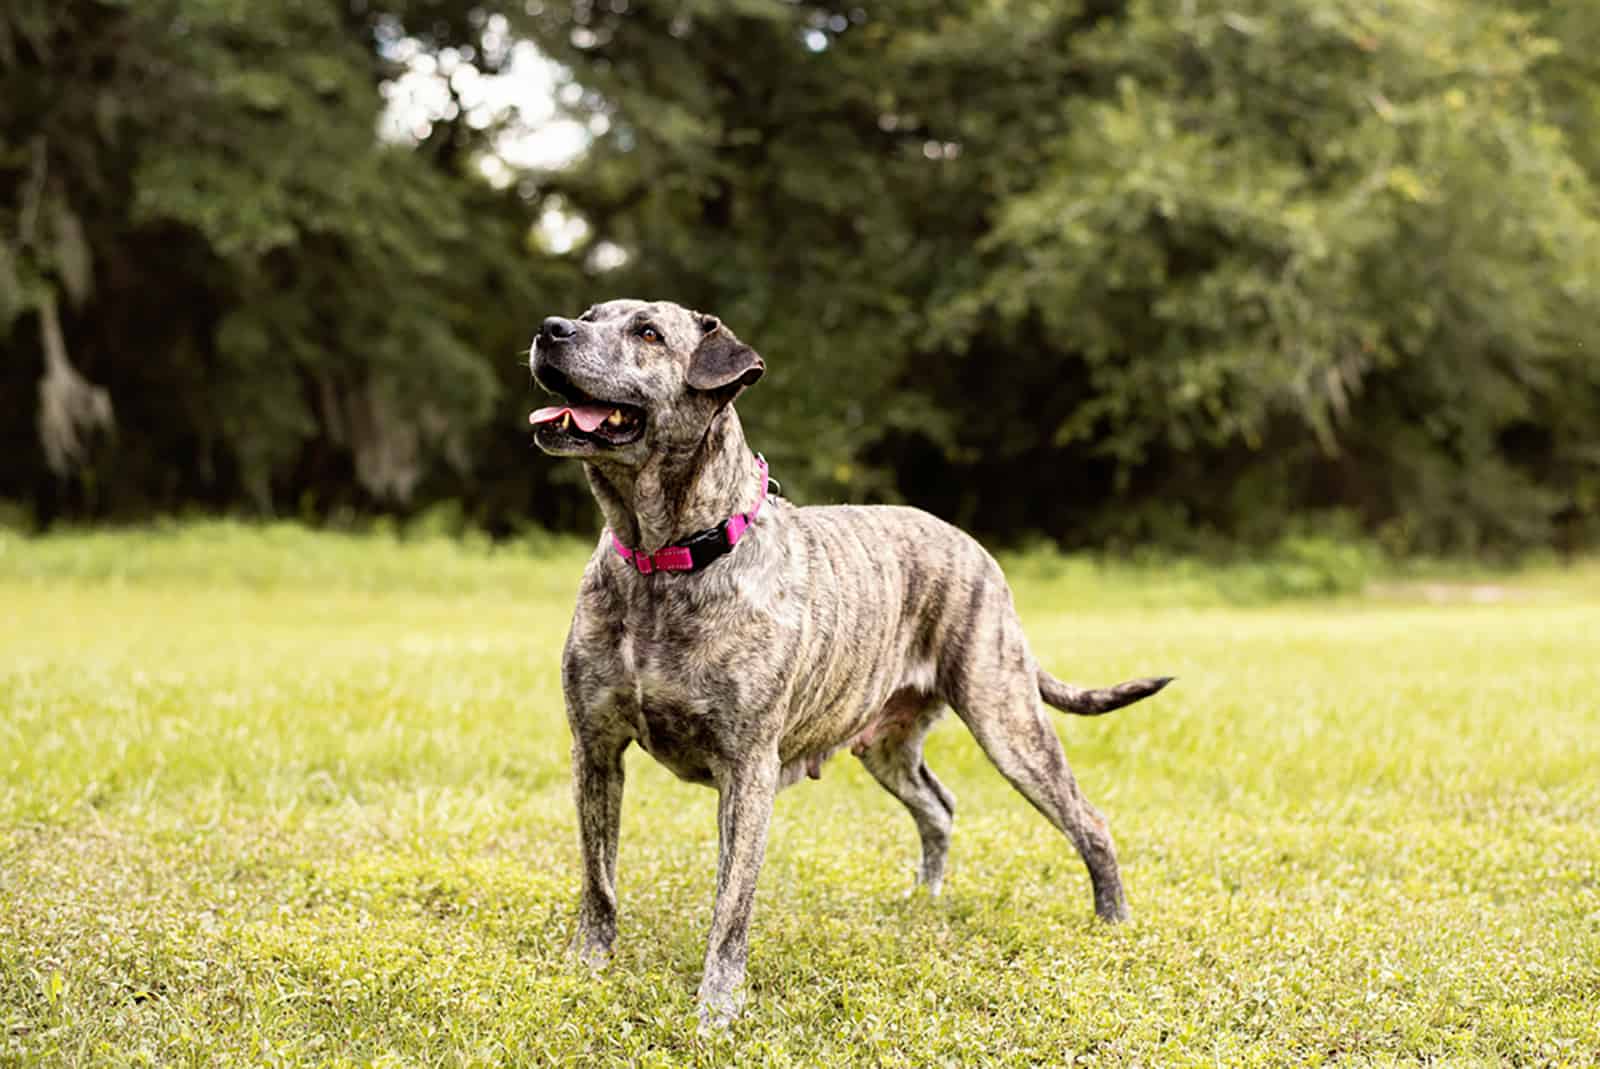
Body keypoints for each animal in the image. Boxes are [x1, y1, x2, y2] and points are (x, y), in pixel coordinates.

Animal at [531, 299, 1171, 1024]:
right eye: (589, 315)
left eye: (647, 333)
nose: (552, 329)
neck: (664, 559)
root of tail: (976, 550)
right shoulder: (596, 748)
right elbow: (599, 876)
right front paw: (588, 966)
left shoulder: (747, 769)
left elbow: (730, 905)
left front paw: (717, 1009)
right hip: (886, 744)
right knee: (938, 806)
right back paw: (924, 899)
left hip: (1007, 721)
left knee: (1087, 819)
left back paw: (1113, 920)